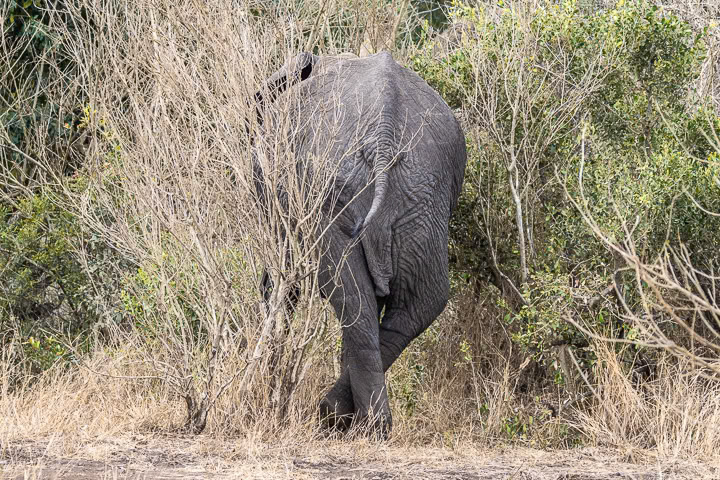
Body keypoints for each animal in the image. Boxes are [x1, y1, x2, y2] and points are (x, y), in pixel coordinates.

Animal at [252, 51, 466, 436]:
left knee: (352, 292)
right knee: (420, 301)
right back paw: (359, 422)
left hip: (335, 193)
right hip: (423, 198)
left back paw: (342, 418)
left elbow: (284, 275)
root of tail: (383, 140)